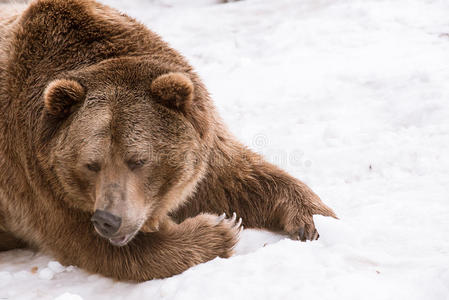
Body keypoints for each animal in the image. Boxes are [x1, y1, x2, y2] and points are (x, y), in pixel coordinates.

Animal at [0, 0, 334, 282]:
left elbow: (240, 178)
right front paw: (219, 229)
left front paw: (311, 221)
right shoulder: (38, 181)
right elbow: (102, 248)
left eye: (138, 160)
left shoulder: (203, 145)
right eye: (90, 164)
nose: (108, 219)